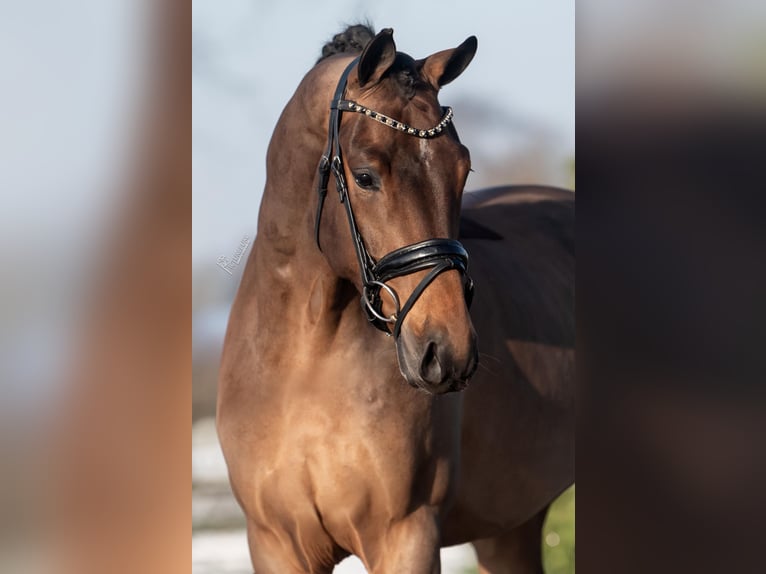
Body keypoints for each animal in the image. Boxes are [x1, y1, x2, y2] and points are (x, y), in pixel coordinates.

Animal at [218, 24, 576, 572]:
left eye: (463, 170)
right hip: (509, 527)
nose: (446, 352)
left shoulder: (405, 534)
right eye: (365, 175)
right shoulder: (275, 543)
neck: (302, 367)